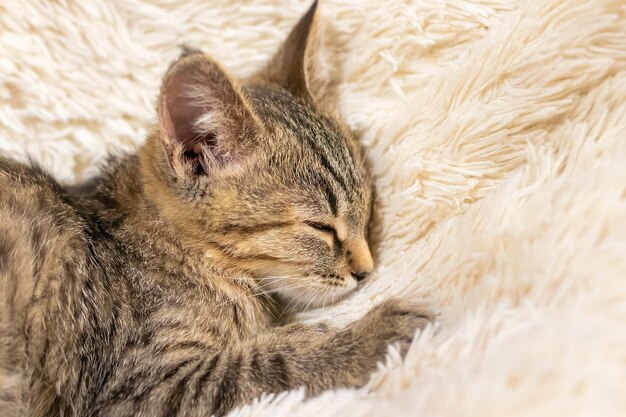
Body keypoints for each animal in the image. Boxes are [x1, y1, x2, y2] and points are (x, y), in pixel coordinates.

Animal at [0, 1, 428, 414]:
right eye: (319, 226)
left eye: (366, 211)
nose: (366, 271)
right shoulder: (134, 384)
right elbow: (267, 363)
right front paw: (367, 338)